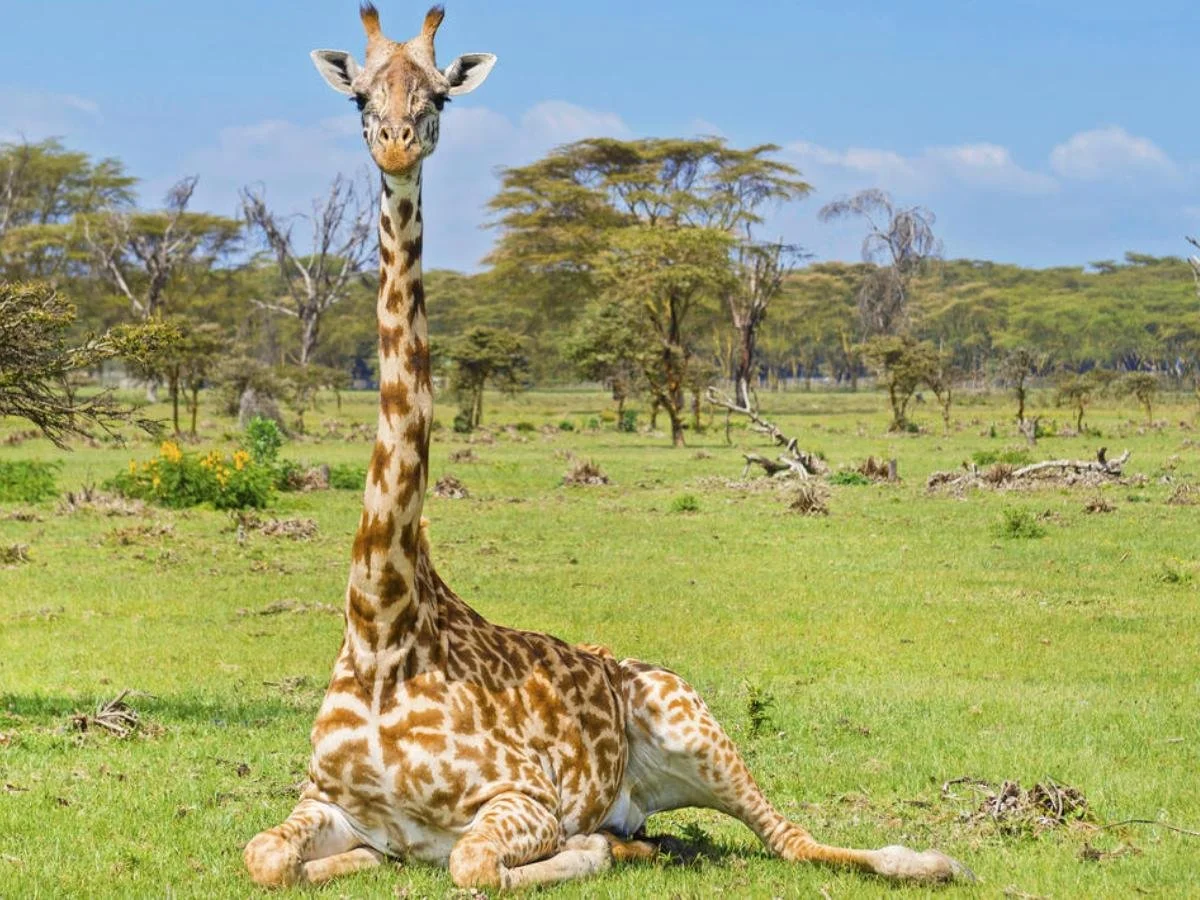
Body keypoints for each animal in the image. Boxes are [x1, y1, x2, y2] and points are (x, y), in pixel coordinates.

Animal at [243, 4, 974, 890]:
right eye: (360, 96)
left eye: (438, 95)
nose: (395, 144)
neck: (383, 625)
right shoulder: (331, 800)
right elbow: (265, 857)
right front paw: (343, 866)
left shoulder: (521, 794)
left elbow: (473, 865)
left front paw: (583, 848)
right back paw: (642, 839)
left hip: (690, 718)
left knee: (790, 837)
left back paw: (925, 859)